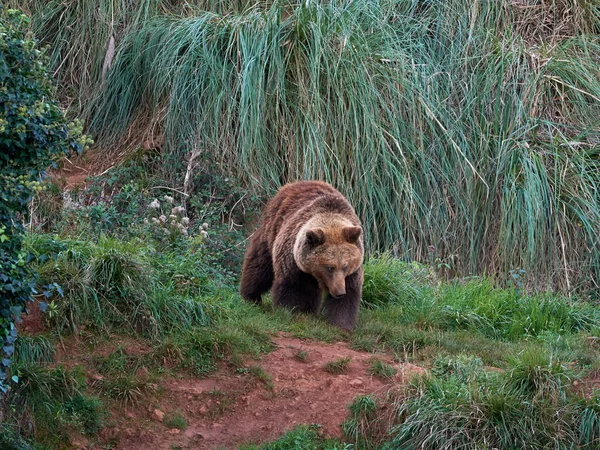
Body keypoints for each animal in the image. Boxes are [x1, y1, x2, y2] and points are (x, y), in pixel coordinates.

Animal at [240, 180, 364, 330]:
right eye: (330, 267)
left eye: (345, 266)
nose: (339, 292)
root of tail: (295, 183)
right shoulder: (291, 259)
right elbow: (290, 287)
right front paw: (288, 312)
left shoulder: (352, 272)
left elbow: (349, 295)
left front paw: (341, 323)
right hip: (271, 230)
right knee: (259, 266)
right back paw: (251, 296)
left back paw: (310, 310)